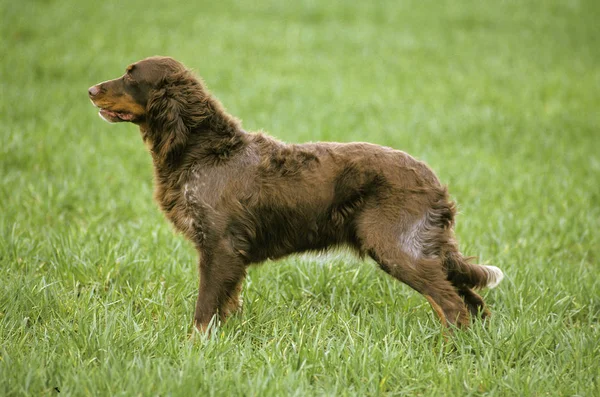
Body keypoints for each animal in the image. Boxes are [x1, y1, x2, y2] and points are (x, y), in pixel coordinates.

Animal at [89, 56, 502, 332]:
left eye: (131, 76)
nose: (90, 90)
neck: (203, 150)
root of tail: (433, 180)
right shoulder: (228, 253)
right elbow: (226, 306)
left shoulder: (219, 246)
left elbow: (203, 313)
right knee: (469, 299)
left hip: (397, 247)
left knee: (450, 303)